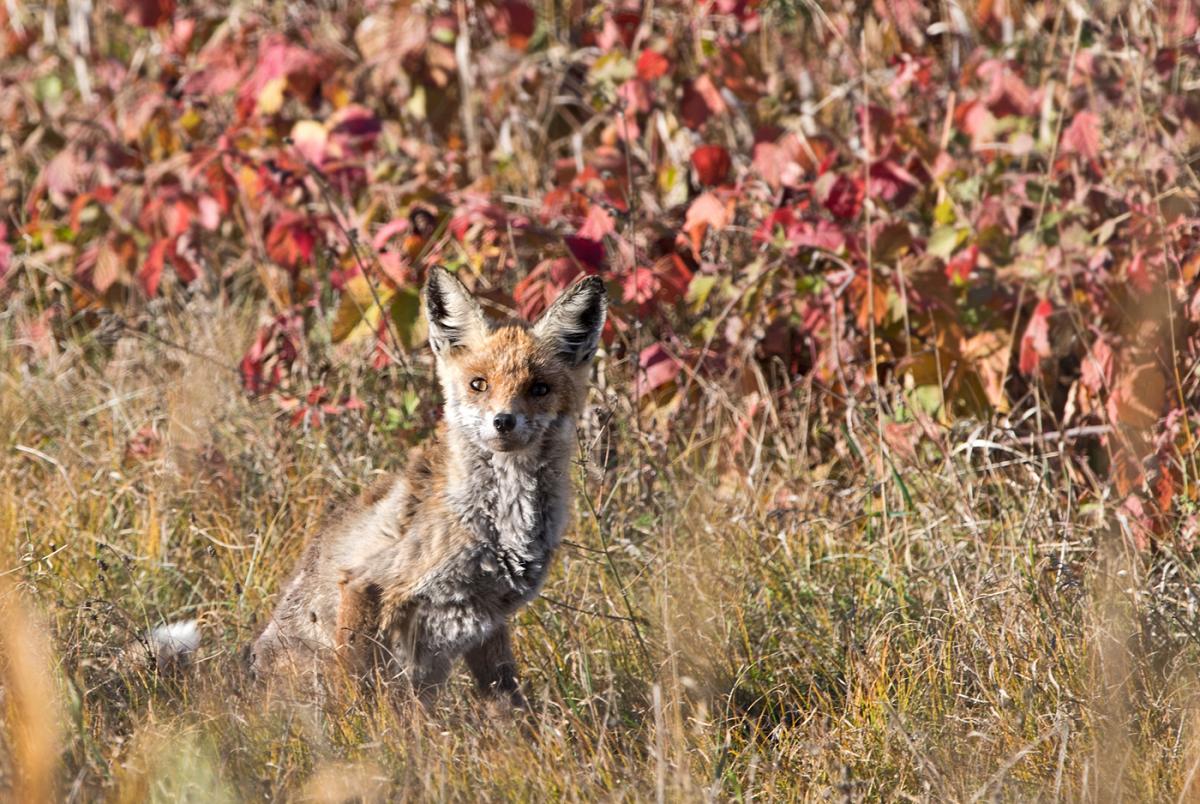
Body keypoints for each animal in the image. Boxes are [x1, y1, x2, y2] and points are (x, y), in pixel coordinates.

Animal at [244, 267, 607, 707]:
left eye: (539, 388)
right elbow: (357, 696)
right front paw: (356, 729)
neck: (500, 521)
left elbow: (508, 703)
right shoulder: (365, 582)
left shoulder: (488, 617)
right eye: (479, 384)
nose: (503, 421)